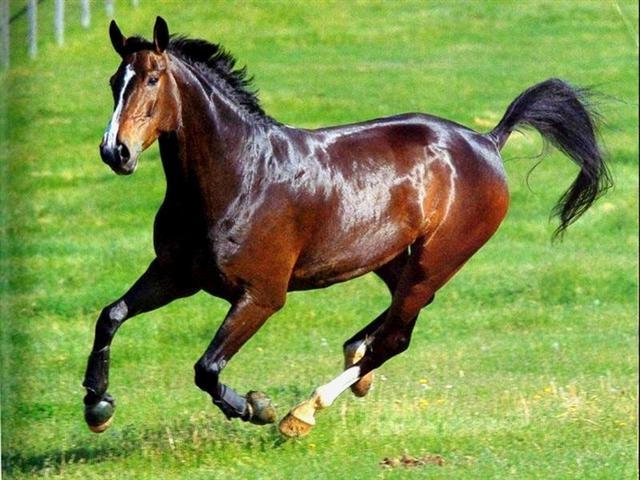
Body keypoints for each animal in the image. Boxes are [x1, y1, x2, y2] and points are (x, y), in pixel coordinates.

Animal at [83, 17, 611, 437]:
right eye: (113, 81)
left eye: (153, 79)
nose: (115, 152)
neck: (242, 175)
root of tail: (487, 141)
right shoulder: (177, 273)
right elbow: (111, 314)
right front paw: (97, 406)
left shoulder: (262, 296)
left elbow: (206, 368)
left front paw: (256, 407)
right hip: (394, 257)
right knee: (397, 319)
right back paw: (355, 357)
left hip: (437, 258)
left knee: (397, 336)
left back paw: (303, 413)